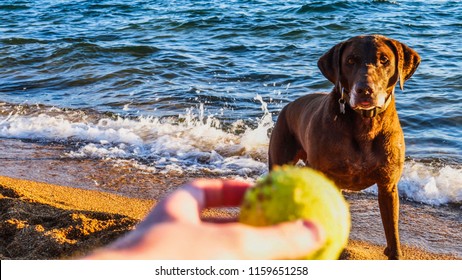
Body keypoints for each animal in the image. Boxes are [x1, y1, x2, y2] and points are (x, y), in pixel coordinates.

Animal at [268, 35, 420, 260]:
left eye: (384, 60)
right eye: (350, 61)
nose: (365, 90)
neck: (365, 123)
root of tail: (288, 106)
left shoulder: (388, 185)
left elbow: (392, 231)